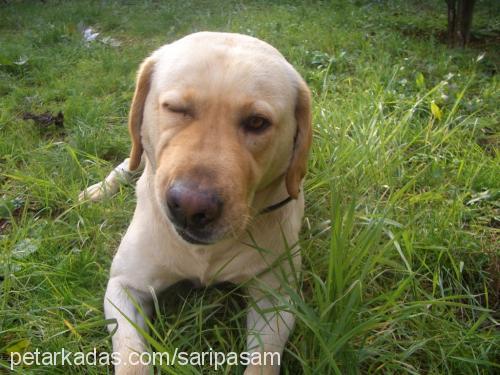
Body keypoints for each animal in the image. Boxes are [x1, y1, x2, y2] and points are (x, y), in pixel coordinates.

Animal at [80, 33, 310, 375]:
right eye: (176, 109)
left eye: (257, 122)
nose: (190, 207)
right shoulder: (124, 286)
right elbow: (132, 357)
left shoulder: (276, 298)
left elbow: (263, 361)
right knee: (130, 162)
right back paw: (99, 189)